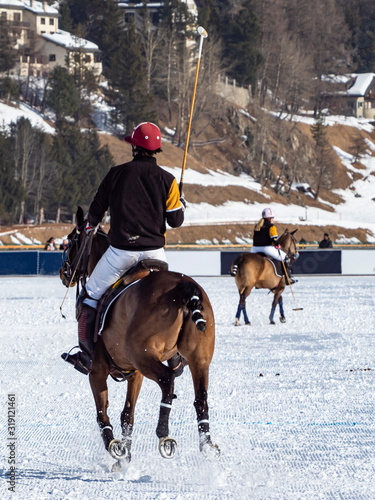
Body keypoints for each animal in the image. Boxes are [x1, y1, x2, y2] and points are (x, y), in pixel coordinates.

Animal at [59, 206, 220, 468]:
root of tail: (185, 287)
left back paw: (164, 435)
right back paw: (206, 444)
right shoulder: (134, 373)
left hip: (143, 354)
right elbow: (128, 415)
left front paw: (115, 448)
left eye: (71, 240)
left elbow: (102, 413)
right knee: (201, 398)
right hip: (199, 358)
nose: (64, 273)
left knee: (167, 380)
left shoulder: (98, 370)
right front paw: (124, 457)